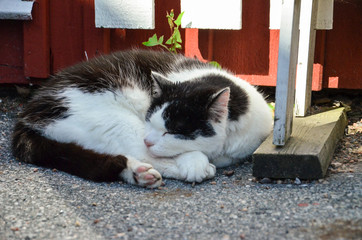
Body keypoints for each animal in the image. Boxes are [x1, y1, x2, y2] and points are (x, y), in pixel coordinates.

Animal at [10, 48, 272, 188]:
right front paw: (194, 163)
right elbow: (186, 154)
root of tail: (28, 113)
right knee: (140, 152)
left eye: (171, 130)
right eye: (150, 121)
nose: (149, 138)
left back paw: (137, 174)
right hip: (112, 118)